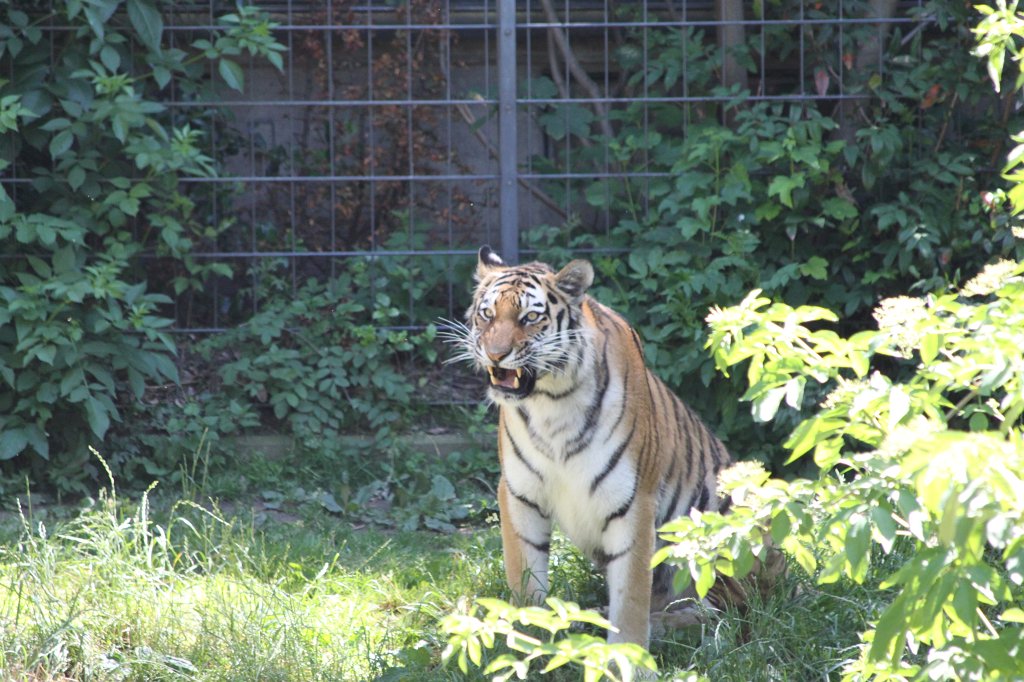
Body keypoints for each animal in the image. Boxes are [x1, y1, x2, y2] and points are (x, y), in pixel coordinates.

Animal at [446, 246, 750, 648]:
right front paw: (529, 643)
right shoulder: (519, 492)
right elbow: (525, 579)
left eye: (530, 318)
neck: (551, 403)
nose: (495, 355)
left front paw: (629, 654)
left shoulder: (634, 498)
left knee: (725, 614)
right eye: (487, 314)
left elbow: (632, 596)